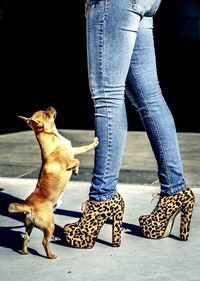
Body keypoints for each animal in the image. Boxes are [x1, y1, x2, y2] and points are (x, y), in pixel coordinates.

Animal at [8, 105, 99, 258]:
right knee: (45, 241)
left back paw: (25, 251)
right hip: (50, 225)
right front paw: (76, 170)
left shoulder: (74, 150)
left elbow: (84, 148)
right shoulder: (69, 162)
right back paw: (51, 256)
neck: (55, 137)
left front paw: (95, 142)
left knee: (26, 238)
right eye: (46, 113)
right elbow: (77, 161)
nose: (50, 106)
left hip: (29, 226)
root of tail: (28, 206)